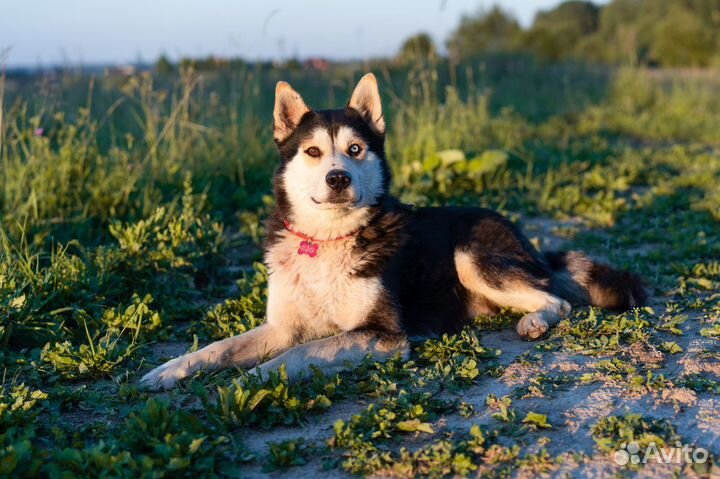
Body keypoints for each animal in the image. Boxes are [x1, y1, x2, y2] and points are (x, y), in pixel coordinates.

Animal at [141, 74, 648, 390]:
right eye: (311, 152)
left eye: (355, 149)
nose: (338, 178)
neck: (329, 241)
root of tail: (530, 243)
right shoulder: (283, 326)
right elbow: (220, 347)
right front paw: (170, 369)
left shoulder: (383, 334)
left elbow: (301, 354)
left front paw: (248, 382)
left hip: (470, 256)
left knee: (557, 300)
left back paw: (534, 321)